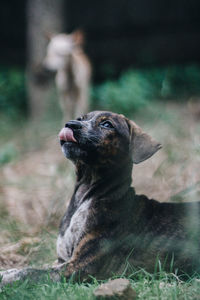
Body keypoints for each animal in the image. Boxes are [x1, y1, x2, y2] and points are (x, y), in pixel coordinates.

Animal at [1, 111, 200, 284]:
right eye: (80, 118)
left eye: (107, 124)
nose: (71, 124)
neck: (85, 195)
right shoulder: (62, 260)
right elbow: (37, 267)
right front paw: (8, 271)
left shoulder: (80, 266)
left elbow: (32, 272)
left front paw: (9, 278)